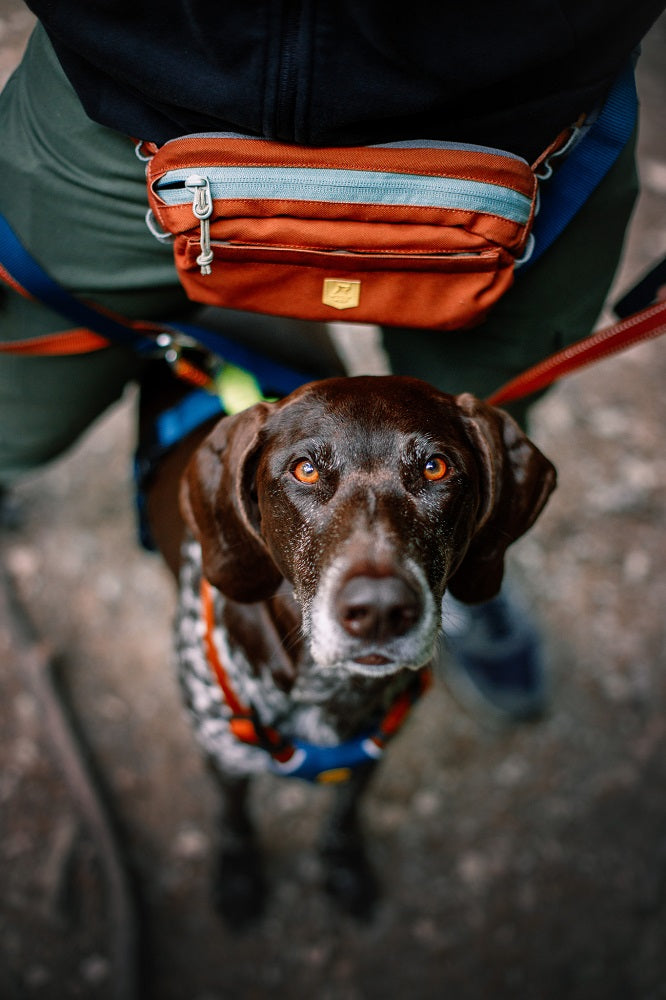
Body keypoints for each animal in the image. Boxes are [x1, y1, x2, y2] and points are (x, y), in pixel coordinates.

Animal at [145, 374, 556, 920]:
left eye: (435, 467)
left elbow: (343, 815)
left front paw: (342, 864)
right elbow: (233, 819)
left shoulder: (368, 756)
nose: (380, 610)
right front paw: (238, 876)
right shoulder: (224, 760)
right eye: (306, 470)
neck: (328, 691)